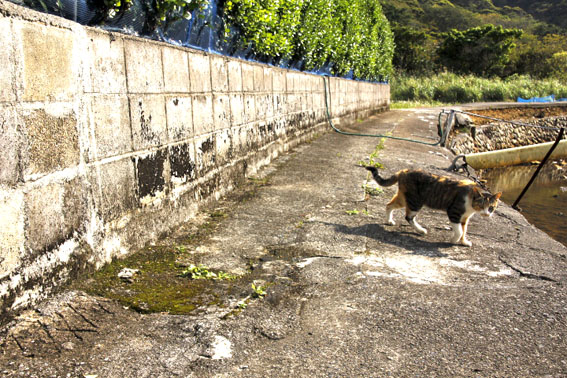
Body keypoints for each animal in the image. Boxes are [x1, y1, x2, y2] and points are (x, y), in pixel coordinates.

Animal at [366, 167, 500, 247]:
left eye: (491, 207)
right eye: (481, 204)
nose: (486, 213)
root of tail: (404, 170)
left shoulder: (465, 217)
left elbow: (464, 229)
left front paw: (463, 241)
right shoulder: (454, 212)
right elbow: (459, 230)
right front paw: (454, 240)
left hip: (404, 198)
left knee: (389, 205)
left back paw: (389, 220)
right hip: (415, 201)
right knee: (408, 217)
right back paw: (420, 230)